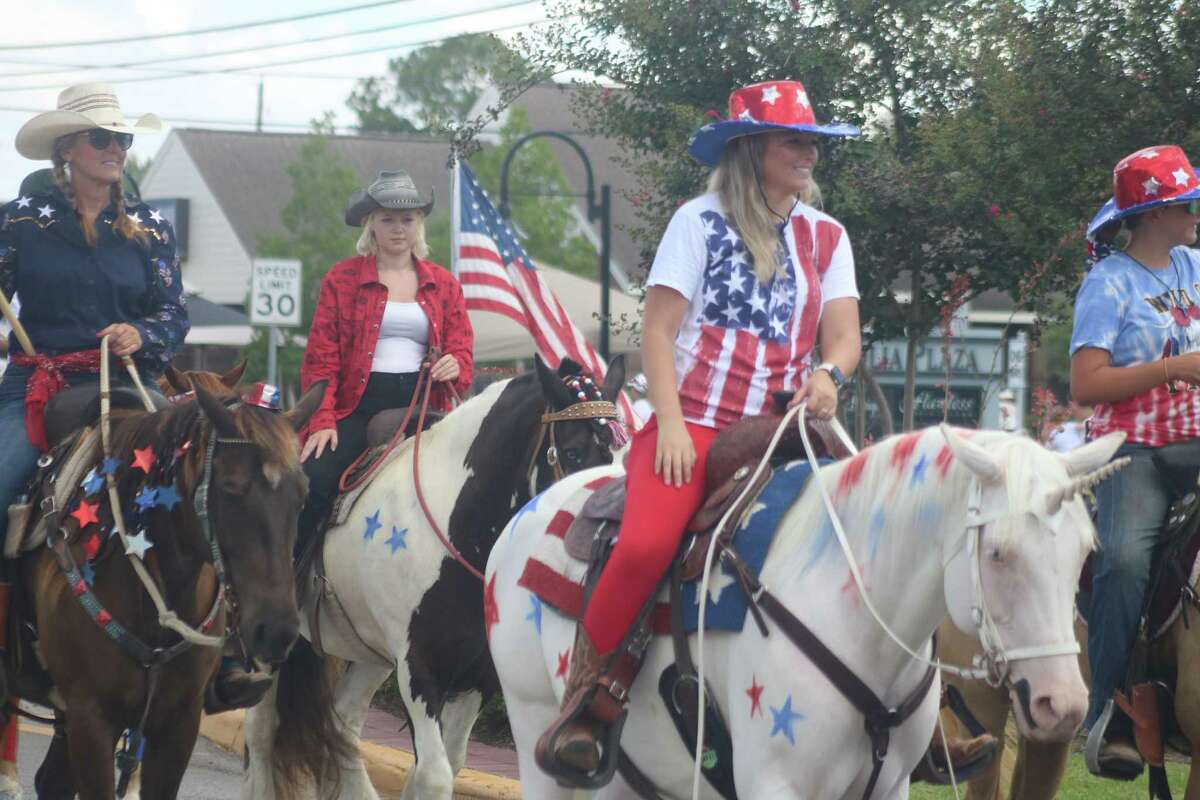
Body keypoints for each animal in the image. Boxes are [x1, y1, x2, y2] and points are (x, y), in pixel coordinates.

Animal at [238, 357, 624, 800]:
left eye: (623, 456)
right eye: (574, 452)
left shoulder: (479, 675)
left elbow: (448, 763)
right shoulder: (419, 669)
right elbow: (436, 773)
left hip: (369, 651)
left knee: (342, 721)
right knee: (262, 728)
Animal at [484, 422, 1123, 796]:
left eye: (1085, 553)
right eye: (998, 553)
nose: (1064, 704)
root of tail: (525, 514)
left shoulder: (889, 787)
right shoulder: (777, 785)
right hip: (535, 729)